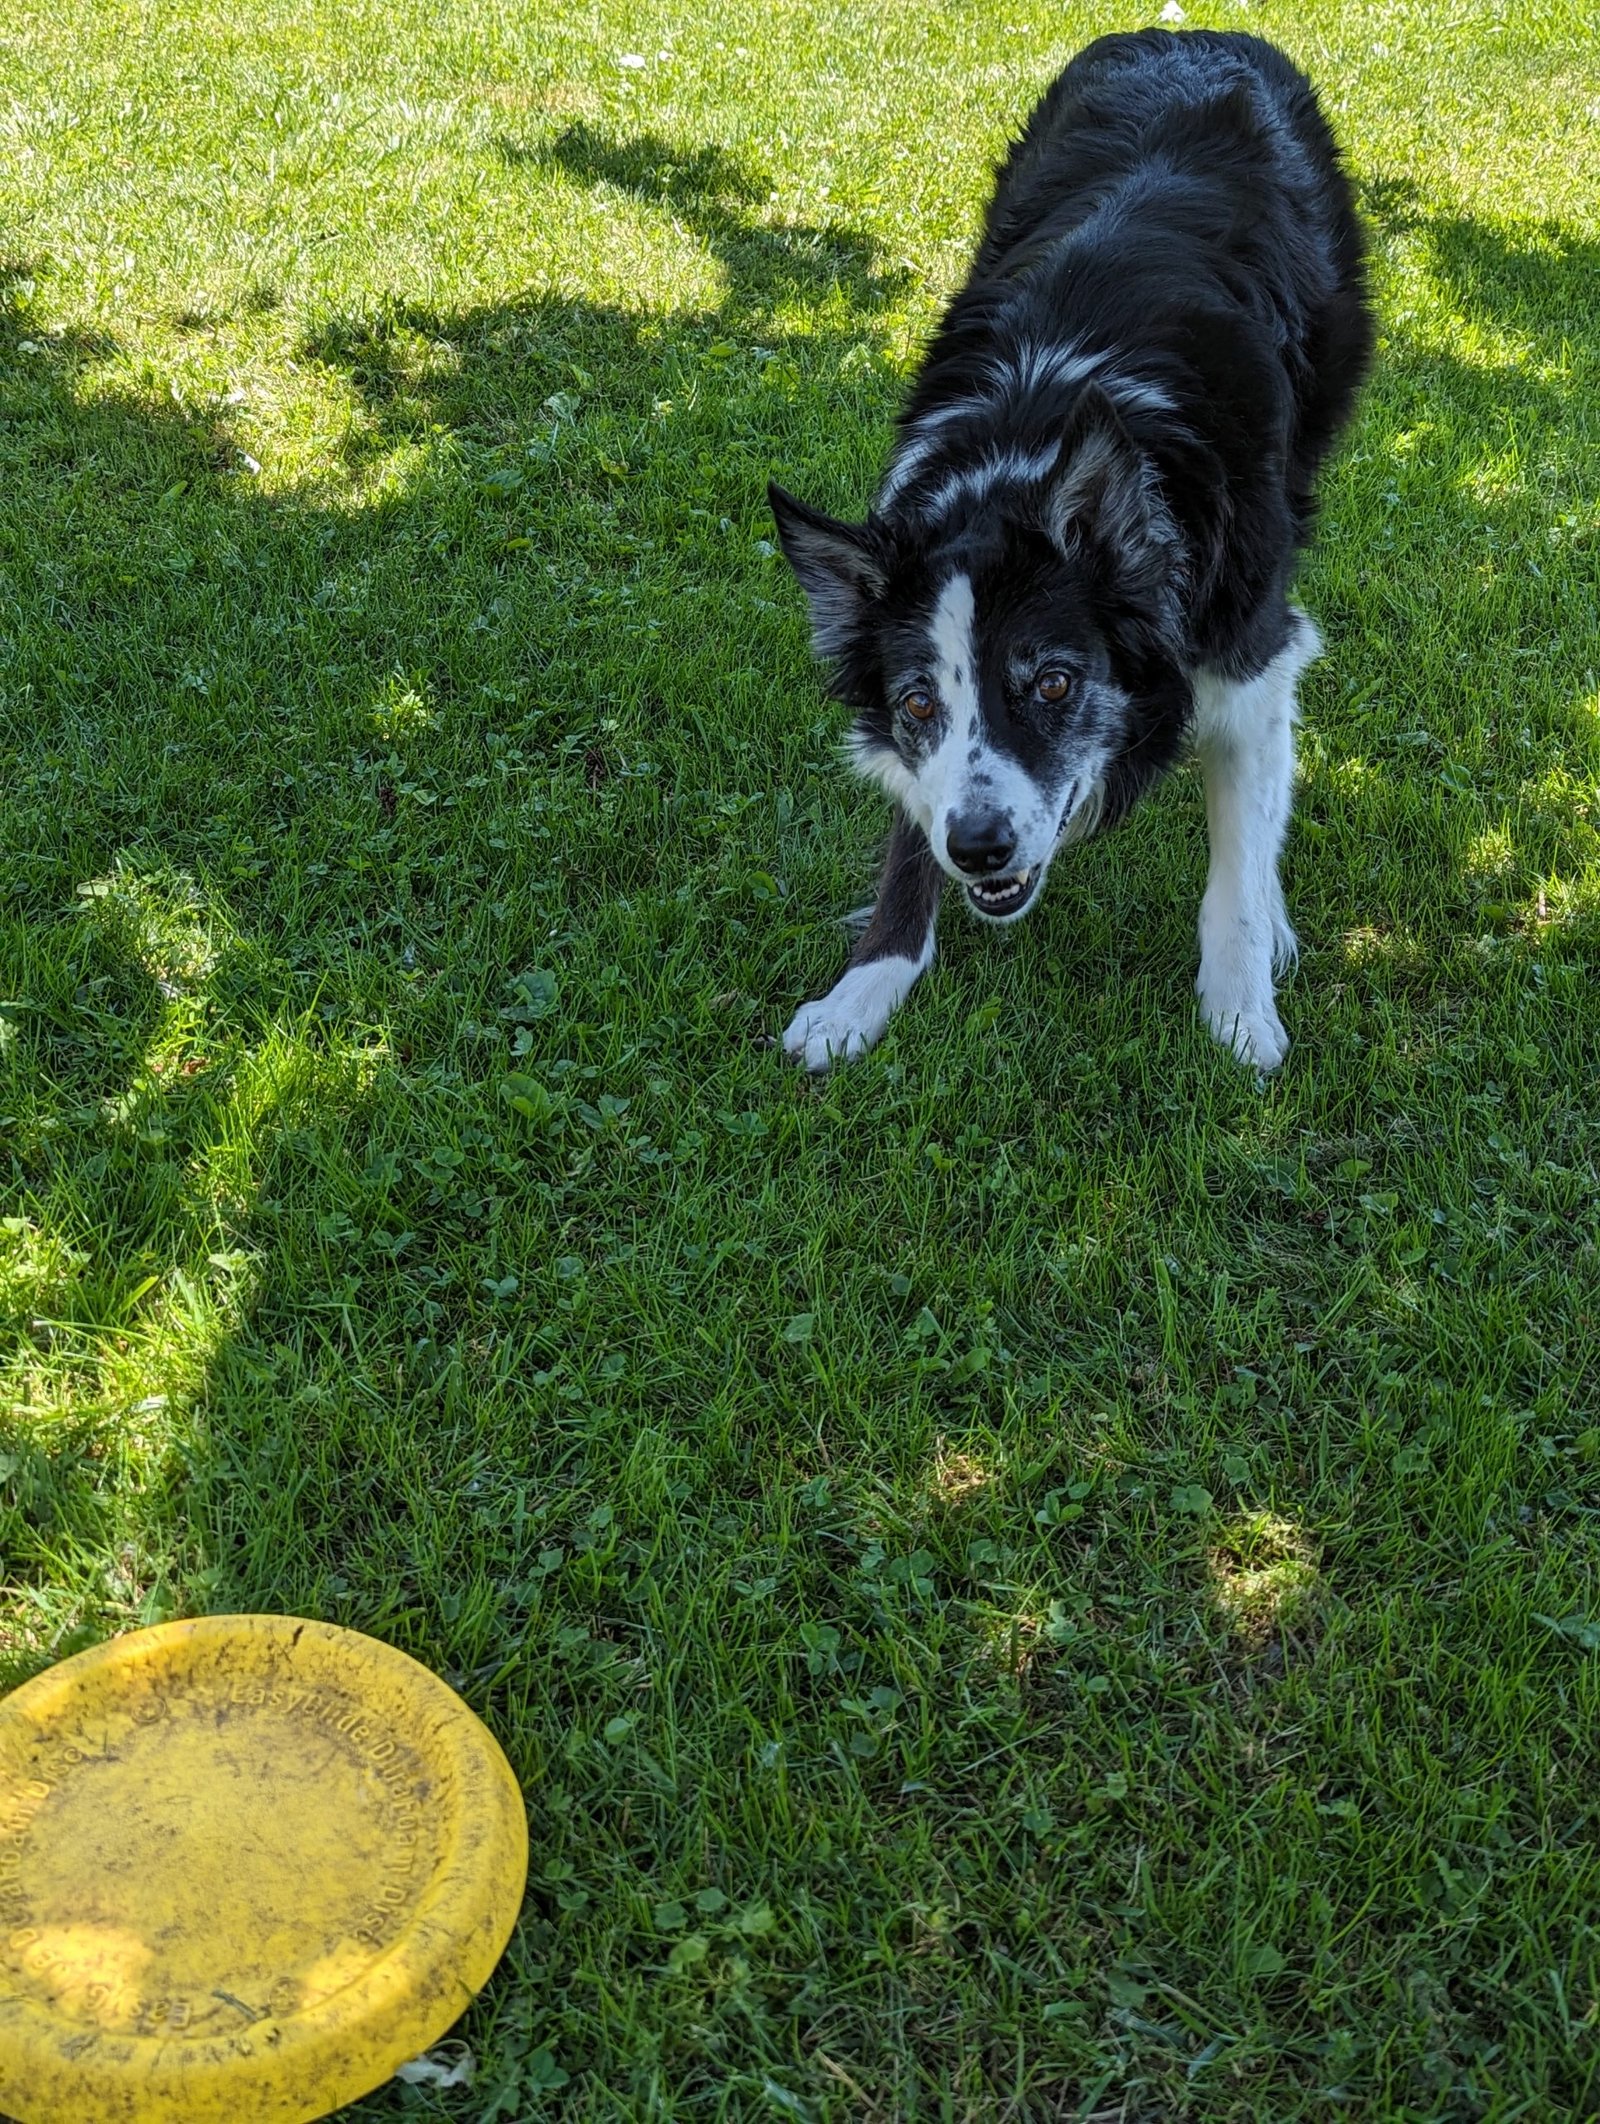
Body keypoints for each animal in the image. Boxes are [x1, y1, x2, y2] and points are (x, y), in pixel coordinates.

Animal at [770, 29, 1373, 1072]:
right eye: (917, 703)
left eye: (1053, 682)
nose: (978, 849)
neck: (1022, 463)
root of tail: (1195, 35)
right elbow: (909, 839)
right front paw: (860, 994)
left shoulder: (1252, 653)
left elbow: (1240, 860)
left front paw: (1242, 1005)